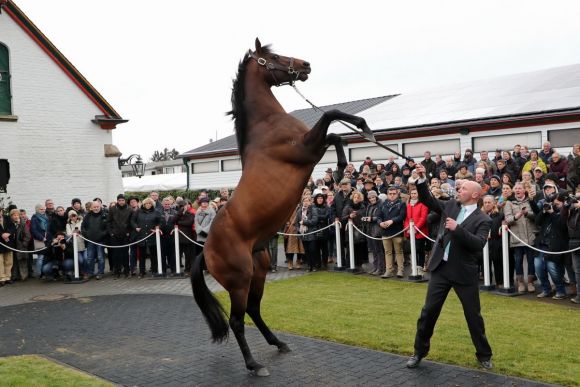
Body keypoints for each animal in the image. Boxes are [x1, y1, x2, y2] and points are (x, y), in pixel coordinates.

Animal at [190, 38, 372, 376]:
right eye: (273, 57)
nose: (305, 65)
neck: (267, 125)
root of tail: (205, 252)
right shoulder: (305, 148)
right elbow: (331, 119)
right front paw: (355, 141)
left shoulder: (312, 147)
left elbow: (334, 131)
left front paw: (344, 162)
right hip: (239, 280)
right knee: (237, 320)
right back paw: (254, 364)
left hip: (259, 271)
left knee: (254, 309)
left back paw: (278, 343)